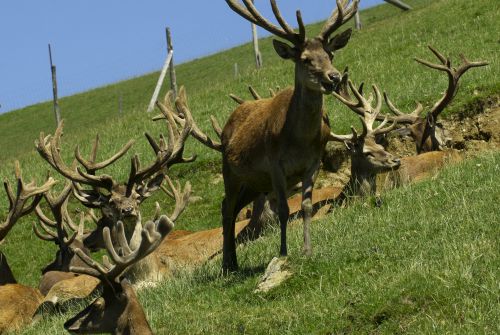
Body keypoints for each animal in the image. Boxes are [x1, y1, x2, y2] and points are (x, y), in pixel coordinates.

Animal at [221, 0, 358, 272]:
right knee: (227, 209)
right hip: (230, 171)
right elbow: (283, 210)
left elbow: (306, 206)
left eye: (330, 54)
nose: (334, 77)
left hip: (254, 182)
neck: (299, 141)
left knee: (232, 206)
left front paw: (307, 250)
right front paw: (283, 252)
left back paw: (233, 262)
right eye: (305, 59)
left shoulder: (313, 163)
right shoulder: (275, 165)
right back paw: (227, 265)